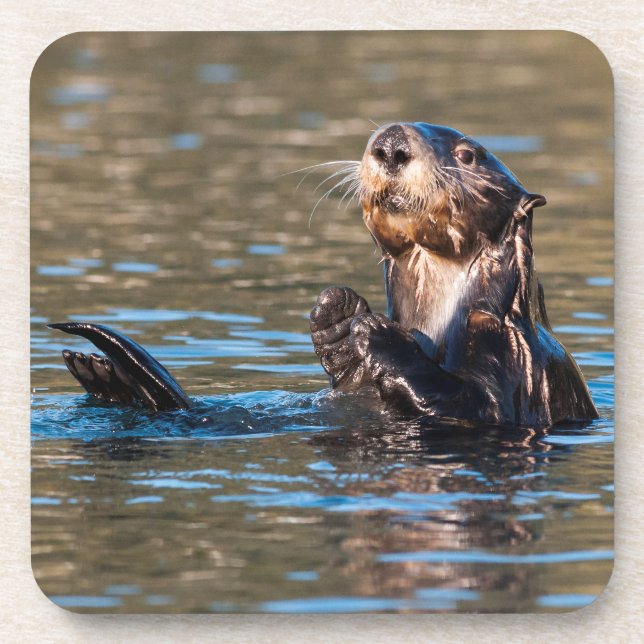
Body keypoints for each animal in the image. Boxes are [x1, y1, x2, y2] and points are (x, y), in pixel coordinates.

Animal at [310, 122, 598, 427]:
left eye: (467, 155)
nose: (390, 144)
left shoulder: (513, 359)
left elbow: (475, 405)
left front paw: (379, 333)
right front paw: (337, 316)